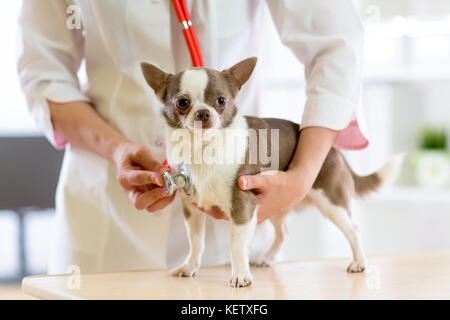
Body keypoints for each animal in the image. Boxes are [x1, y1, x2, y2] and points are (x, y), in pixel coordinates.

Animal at [140, 57, 400, 288]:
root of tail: (336, 151)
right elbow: (196, 242)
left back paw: (359, 262)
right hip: (277, 206)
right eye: (182, 103)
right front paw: (190, 267)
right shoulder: (193, 209)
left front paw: (240, 275)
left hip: (330, 201)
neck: (203, 149)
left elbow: (236, 245)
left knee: (353, 229)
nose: (203, 113)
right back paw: (267, 258)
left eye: (221, 100)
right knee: (282, 232)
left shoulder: (243, 206)